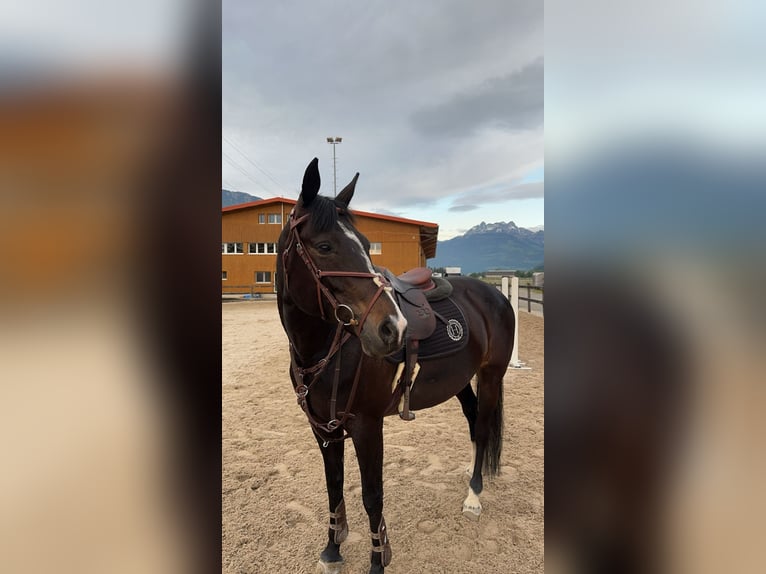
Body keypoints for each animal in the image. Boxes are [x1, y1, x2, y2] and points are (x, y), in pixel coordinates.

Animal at [276, 158, 516, 574]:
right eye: (324, 246)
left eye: (365, 245)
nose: (393, 328)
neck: (324, 349)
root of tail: (495, 294)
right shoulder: (323, 428)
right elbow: (333, 487)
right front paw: (332, 549)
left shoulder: (367, 426)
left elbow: (372, 495)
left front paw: (378, 560)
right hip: (461, 381)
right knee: (474, 425)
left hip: (491, 376)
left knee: (484, 428)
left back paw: (473, 496)